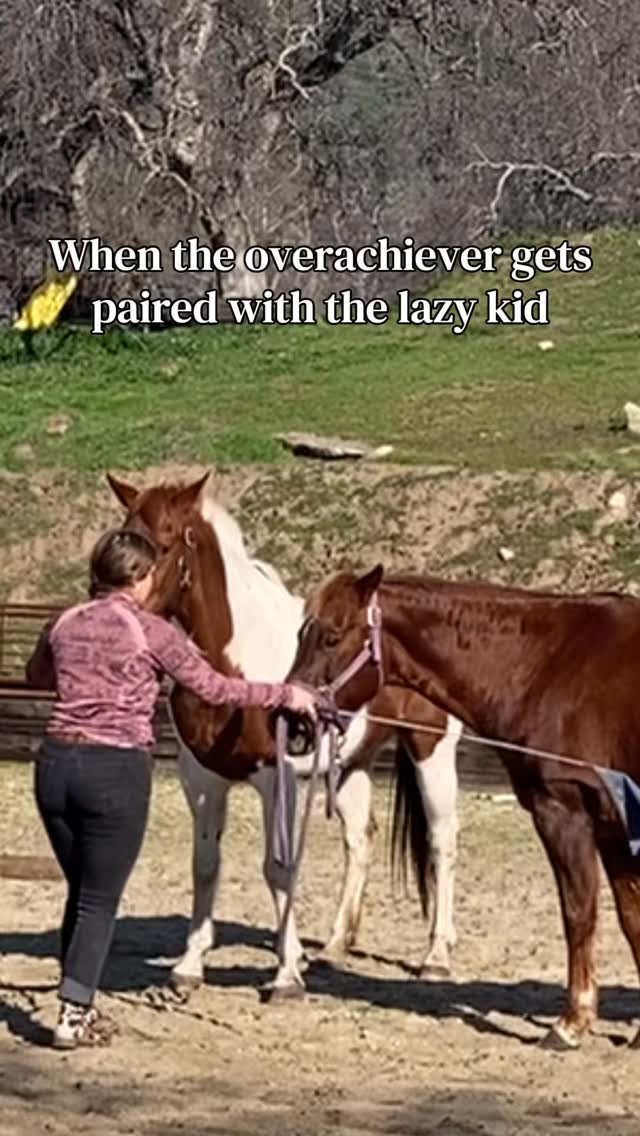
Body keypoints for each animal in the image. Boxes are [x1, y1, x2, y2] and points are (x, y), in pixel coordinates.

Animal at [106, 472, 462, 991]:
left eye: (166, 545)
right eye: (124, 536)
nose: (127, 616)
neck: (236, 657)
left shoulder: (277, 777)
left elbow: (279, 868)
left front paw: (287, 969)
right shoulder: (203, 778)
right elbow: (205, 865)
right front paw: (190, 964)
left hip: (432, 751)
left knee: (442, 841)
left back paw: (436, 954)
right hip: (349, 765)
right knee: (360, 839)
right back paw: (335, 944)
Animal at [287, 564, 640, 1050]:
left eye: (332, 636)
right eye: (302, 632)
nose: (292, 716)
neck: (548, 665)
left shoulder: (563, 812)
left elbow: (578, 912)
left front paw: (571, 1024)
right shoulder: (612, 824)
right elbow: (631, 917)